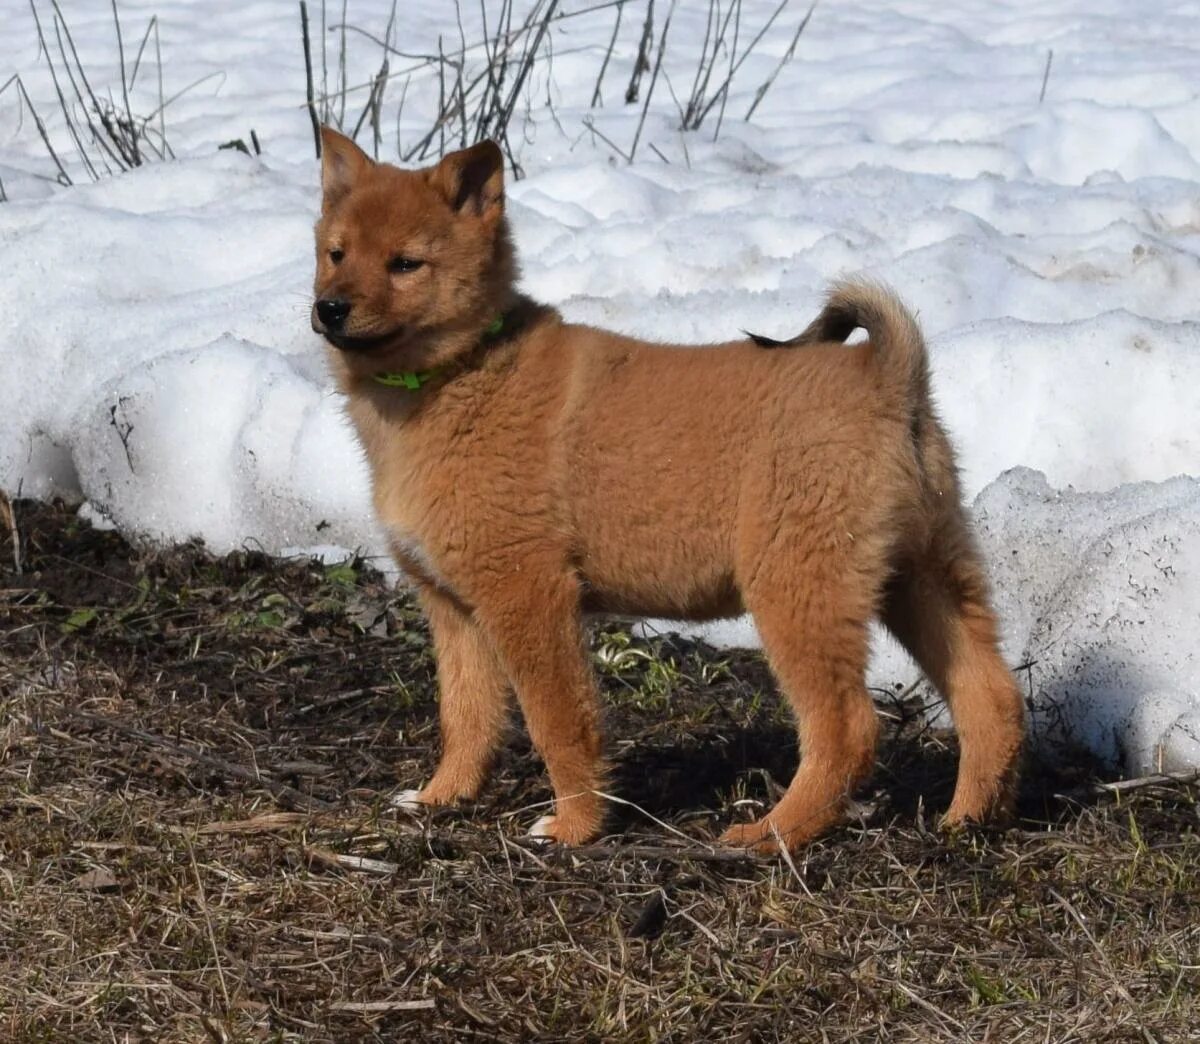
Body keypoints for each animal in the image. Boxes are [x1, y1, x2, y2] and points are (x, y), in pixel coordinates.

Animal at [309, 126, 1022, 854]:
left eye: (405, 264)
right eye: (336, 253)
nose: (328, 308)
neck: (455, 378)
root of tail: (888, 377)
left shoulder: (528, 593)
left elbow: (558, 721)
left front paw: (574, 825)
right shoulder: (453, 606)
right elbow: (466, 716)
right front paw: (442, 797)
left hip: (798, 586)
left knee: (847, 726)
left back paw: (775, 831)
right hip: (921, 574)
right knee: (990, 695)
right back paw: (969, 818)